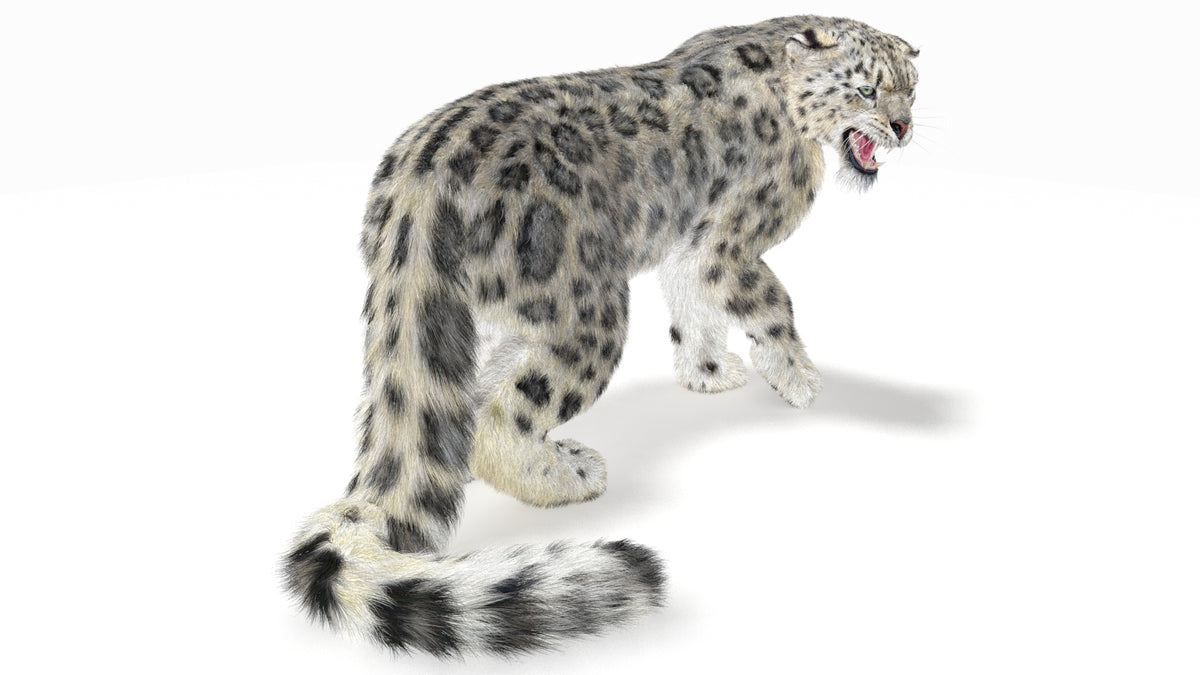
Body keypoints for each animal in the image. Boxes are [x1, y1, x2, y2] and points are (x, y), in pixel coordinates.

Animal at [282, 14, 919, 657]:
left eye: (910, 88)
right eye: (866, 89)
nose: (902, 127)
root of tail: (419, 186)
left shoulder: (689, 247)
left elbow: (692, 308)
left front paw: (710, 373)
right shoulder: (728, 244)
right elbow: (770, 303)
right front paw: (799, 379)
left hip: (467, 320)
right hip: (589, 311)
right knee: (501, 420)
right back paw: (570, 474)